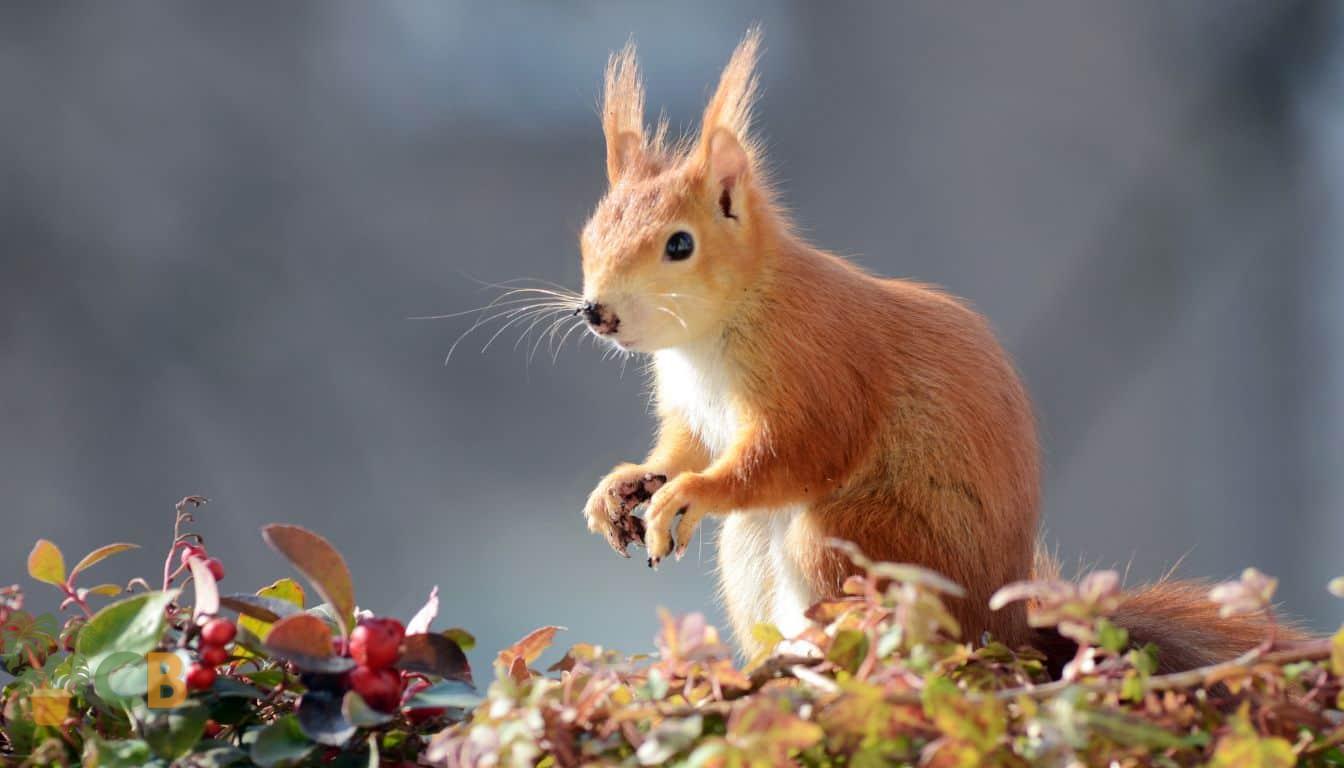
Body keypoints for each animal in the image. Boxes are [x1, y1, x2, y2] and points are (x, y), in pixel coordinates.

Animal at [577, 30, 1299, 673]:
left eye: (680, 245)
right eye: (589, 231)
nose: (597, 312)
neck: (711, 332)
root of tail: (1007, 633)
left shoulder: (814, 365)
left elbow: (795, 453)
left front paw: (690, 492)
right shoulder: (692, 406)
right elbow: (684, 446)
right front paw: (626, 485)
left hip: (867, 545)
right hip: (753, 549)